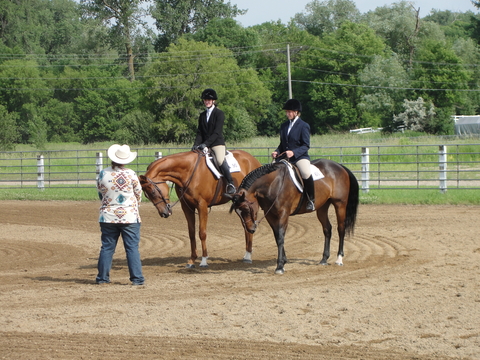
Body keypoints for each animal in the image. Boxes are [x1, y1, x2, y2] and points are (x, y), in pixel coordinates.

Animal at [228, 159, 356, 274]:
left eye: (246, 209)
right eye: (237, 212)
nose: (250, 229)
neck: (273, 183)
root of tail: (339, 166)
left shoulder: (283, 213)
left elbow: (280, 236)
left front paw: (279, 266)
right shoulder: (270, 214)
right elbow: (277, 237)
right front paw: (283, 261)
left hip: (340, 204)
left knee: (341, 229)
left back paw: (339, 259)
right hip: (322, 207)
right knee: (327, 229)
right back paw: (324, 259)